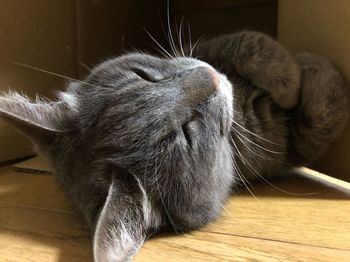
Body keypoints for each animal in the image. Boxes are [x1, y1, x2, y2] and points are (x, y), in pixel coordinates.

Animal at [0, 30, 348, 260]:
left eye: (142, 75)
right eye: (187, 133)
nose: (209, 76)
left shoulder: (208, 47)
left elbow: (247, 41)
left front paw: (292, 71)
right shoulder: (288, 146)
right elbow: (324, 113)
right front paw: (310, 72)